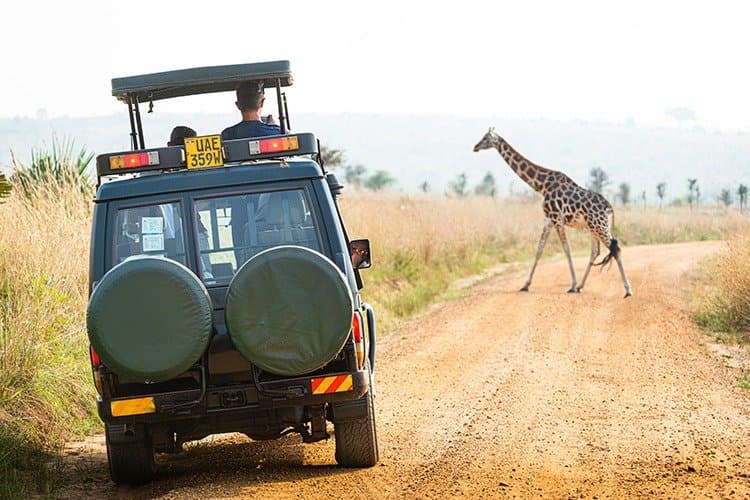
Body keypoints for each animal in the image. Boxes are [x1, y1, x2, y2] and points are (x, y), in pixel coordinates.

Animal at [473, 127, 633, 298]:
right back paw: (582, 285)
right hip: (593, 227)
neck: (542, 185)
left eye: (485, 138)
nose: (475, 147)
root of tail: (610, 207)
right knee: (595, 251)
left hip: (599, 226)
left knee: (615, 249)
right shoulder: (548, 219)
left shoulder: (557, 218)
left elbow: (567, 250)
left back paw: (627, 290)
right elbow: (539, 250)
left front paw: (572, 285)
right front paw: (525, 285)